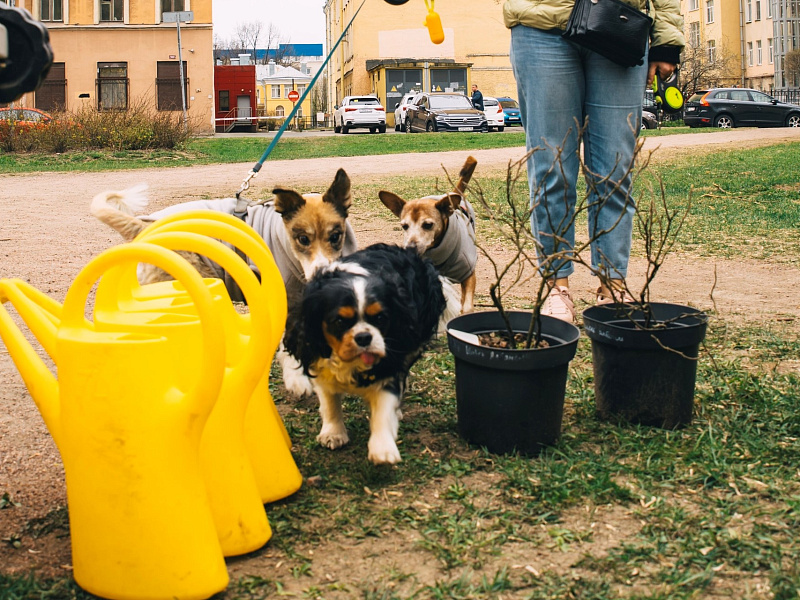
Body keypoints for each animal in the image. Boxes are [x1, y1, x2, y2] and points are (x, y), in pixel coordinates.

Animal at [283, 243, 458, 465]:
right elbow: (330, 402)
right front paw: (333, 433)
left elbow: (383, 406)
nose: (364, 337)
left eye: (381, 318)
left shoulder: (390, 363)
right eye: (339, 321)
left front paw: (382, 447)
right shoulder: (320, 363)